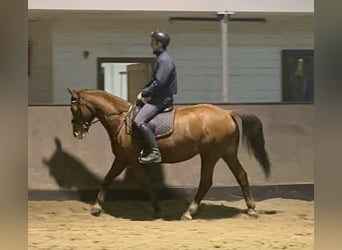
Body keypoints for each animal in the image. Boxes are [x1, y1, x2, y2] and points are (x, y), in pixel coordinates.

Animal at [67, 88, 270, 219]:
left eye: (74, 108)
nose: (76, 133)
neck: (121, 120)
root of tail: (228, 112)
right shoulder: (124, 159)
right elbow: (115, 179)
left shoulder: (128, 159)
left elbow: (130, 181)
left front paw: (96, 208)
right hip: (227, 153)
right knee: (241, 175)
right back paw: (251, 209)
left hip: (210, 155)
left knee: (206, 181)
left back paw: (189, 212)